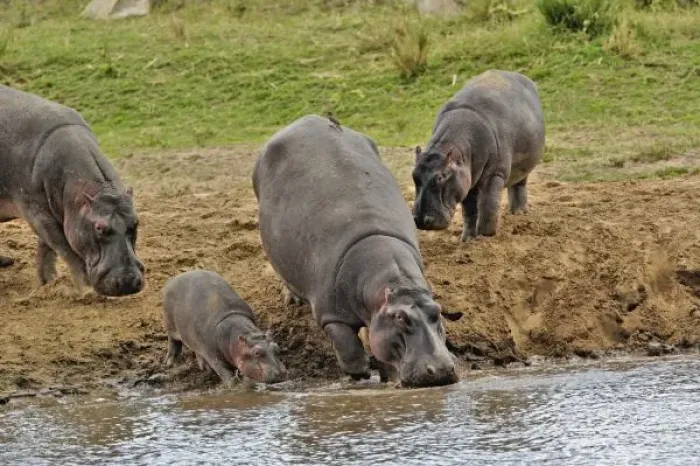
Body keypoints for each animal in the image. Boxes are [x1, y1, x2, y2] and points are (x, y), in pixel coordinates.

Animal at [0, 85, 144, 296]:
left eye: (136, 222)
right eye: (99, 228)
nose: (128, 282)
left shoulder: (51, 211)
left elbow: (46, 249)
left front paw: (49, 284)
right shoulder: (37, 213)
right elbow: (64, 249)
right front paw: (86, 292)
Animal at [253, 114, 463, 388]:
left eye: (437, 313)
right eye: (401, 318)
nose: (440, 370)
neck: (395, 284)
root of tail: (305, 119)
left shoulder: (378, 320)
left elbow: (382, 351)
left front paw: (388, 379)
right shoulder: (330, 315)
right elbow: (348, 347)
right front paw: (360, 374)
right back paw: (293, 299)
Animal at [412, 69, 545, 241]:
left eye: (441, 177)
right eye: (414, 175)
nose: (421, 219)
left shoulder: (495, 174)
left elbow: (488, 207)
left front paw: (485, 238)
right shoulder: (466, 182)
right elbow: (469, 212)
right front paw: (468, 240)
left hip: (525, 165)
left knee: (519, 184)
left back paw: (520, 213)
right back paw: (513, 214)